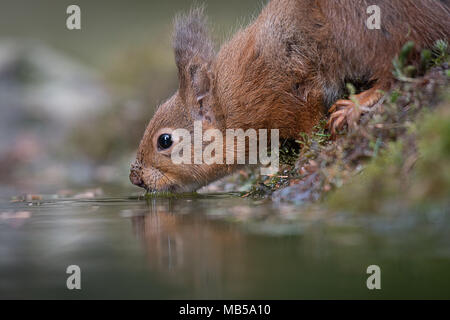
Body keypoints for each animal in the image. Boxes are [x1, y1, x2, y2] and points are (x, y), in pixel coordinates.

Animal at [128, 0, 448, 192]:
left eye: (164, 141)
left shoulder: (289, 89)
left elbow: (309, 119)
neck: (229, 102)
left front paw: (306, 157)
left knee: (401, 63)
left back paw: (357, 104)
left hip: (363, 25)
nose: (135, 178)